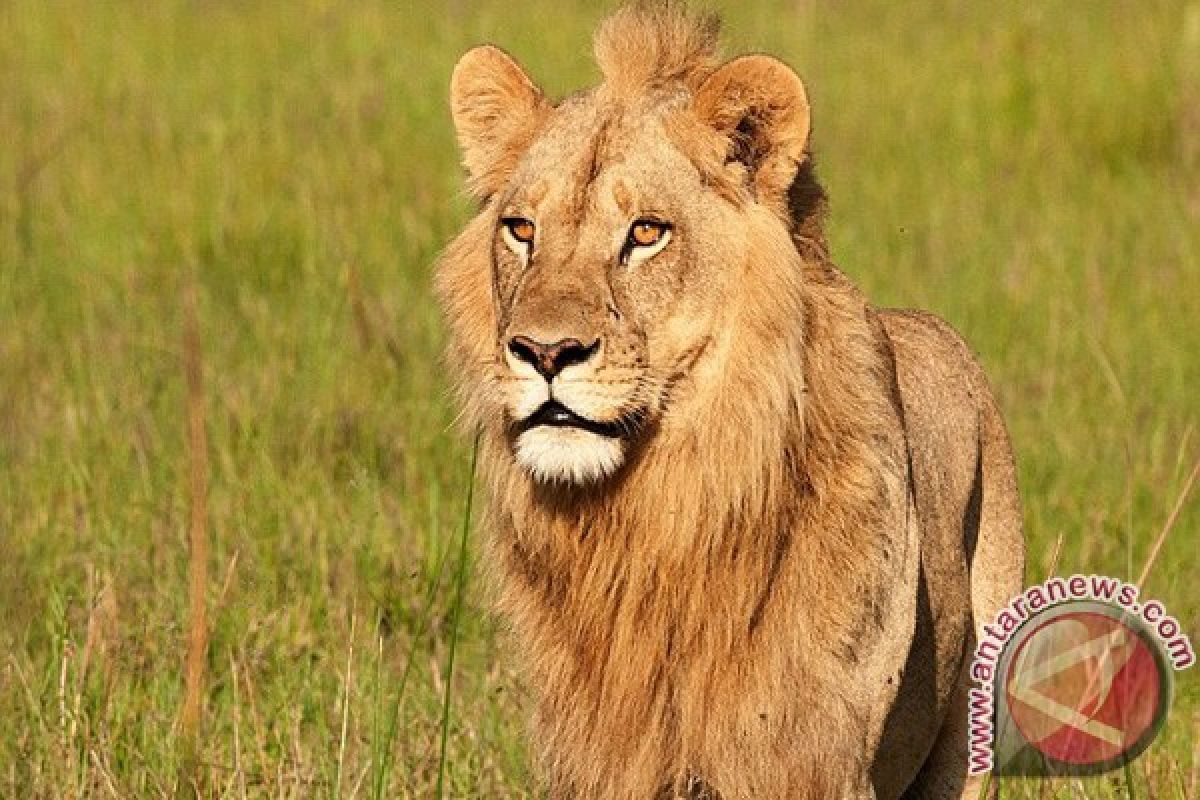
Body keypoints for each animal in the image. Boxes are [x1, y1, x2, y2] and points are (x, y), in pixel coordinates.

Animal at [436, 3, 1027, 796]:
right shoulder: (604, 753)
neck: (656, 514)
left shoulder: (815, 757)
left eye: (646, 232)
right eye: (522, 230)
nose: (544, 353)